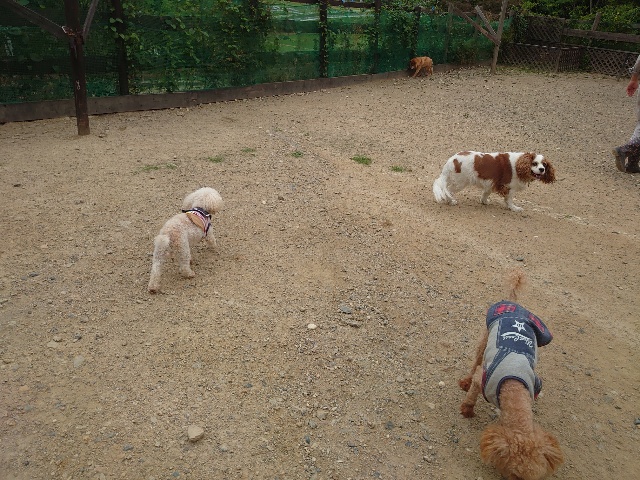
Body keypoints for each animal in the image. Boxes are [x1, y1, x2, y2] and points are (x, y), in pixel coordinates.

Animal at [458, 270, 564, 480]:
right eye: (516, 475)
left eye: (536, 478)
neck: (513, 387)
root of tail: (514, 304)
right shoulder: (482, 379)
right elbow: (472, 394)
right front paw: (467, 411)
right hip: (485, 340)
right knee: (475, 362)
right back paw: (465, 381)